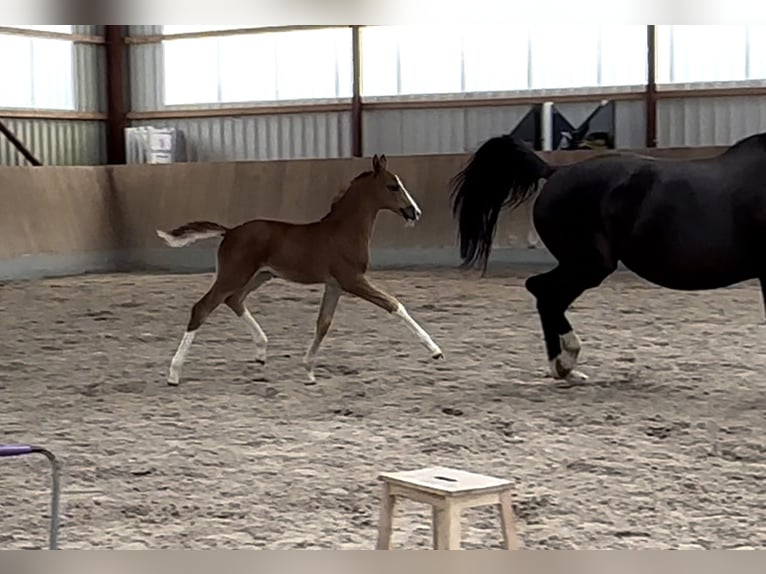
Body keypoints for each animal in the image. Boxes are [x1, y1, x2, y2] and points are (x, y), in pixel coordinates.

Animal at [156, 154, 444, 386]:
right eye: (392, 186)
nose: (415, 212)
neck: (344, 231)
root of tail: (230, 231)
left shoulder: (334, 285)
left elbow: (323, 323)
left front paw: (308, 371)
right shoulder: (352, 280)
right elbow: (393, 304)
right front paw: (435, 350)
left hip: (259, 275)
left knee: (234, 300)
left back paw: (261, 351)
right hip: (234, 275)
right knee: (203, 308)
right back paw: (174, 373)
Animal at [450, 131, 766, 382]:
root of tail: (555, 172)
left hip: (583, 265)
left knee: (543, 291)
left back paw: (563, 368)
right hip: (589, 265)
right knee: (544, 292)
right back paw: (565, 362)